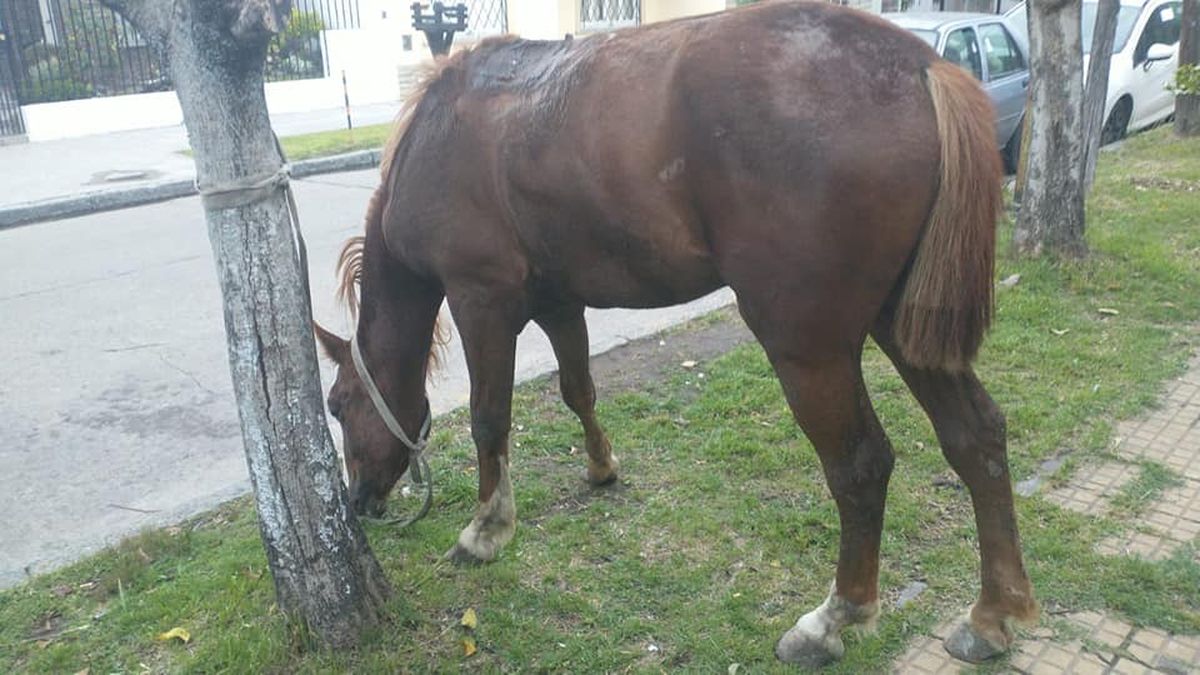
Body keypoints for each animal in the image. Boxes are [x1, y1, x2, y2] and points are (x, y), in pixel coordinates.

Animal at [312, 0, 1037, 666]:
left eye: (338, 405)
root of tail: (921, 66)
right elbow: (579, 390)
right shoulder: (558, 303)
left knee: (861, 465)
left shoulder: (479, 300)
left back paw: (835, 617)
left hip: (808, 345)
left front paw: (486, 528)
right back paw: (993, 612)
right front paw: (601, 466)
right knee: (976, 436)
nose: (359, 500)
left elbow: (489, 418)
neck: (440, 135)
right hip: (905, 321)